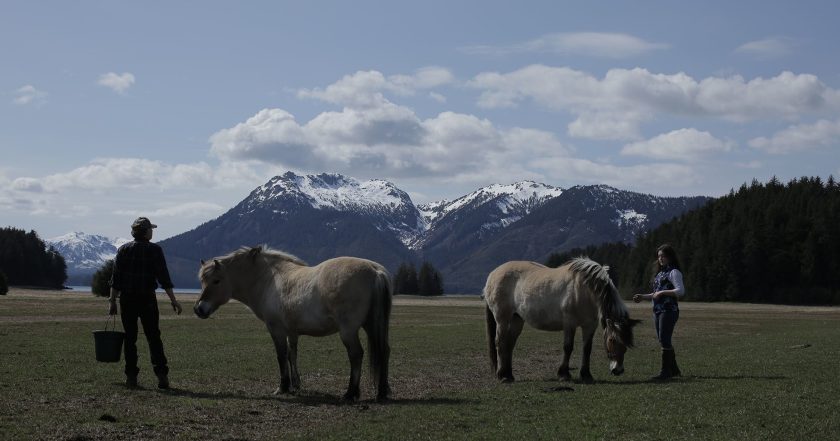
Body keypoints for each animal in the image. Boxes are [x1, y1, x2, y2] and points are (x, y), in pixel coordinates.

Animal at [194, 246, 394, 400]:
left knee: (356, 354)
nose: (199, 309)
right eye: (202, 281)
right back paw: (382, 392)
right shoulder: (292, 331)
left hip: (348, 331)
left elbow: (281, 356)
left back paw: (350, 393)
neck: (268, 279)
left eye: (216, 281)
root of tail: (375, 270)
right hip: (372, 325)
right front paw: (296, 384)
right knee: (384, 350)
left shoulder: (276, 329)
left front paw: (282, 387)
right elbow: (292, 355)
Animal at [482, 256, 640, 384]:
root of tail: (492, 274)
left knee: (509, 344)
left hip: (517, 319)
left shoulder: (590, 326)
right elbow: (568, 347)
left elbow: (587, 349)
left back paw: (509, 375)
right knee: (500, 342)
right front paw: (564, 374)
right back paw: (502, 376)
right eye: (612, 340)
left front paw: (586, 375)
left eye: (626, 341)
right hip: (502, 318)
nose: (618, 370)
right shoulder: (569, 323)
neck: (584, 289)